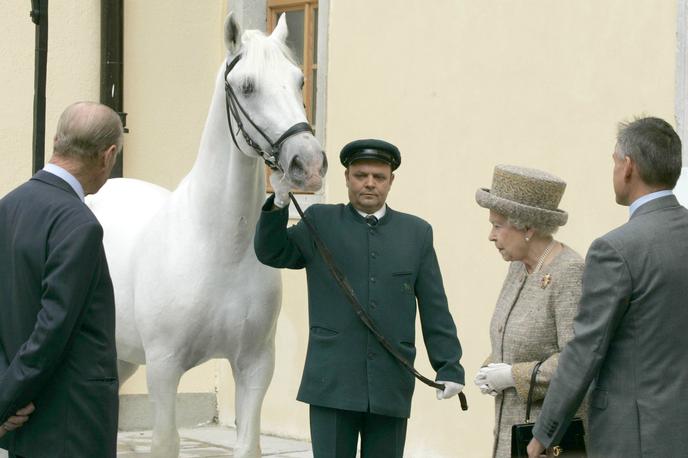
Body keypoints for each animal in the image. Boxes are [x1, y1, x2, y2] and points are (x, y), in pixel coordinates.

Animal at [86, 12, 326, 456]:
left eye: (300, 79)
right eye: (247, 86)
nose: (309, 163)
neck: (218, 247)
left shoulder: (255, 364)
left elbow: (248, 444)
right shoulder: (164, 368)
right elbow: (166, 442)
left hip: (119, 356)